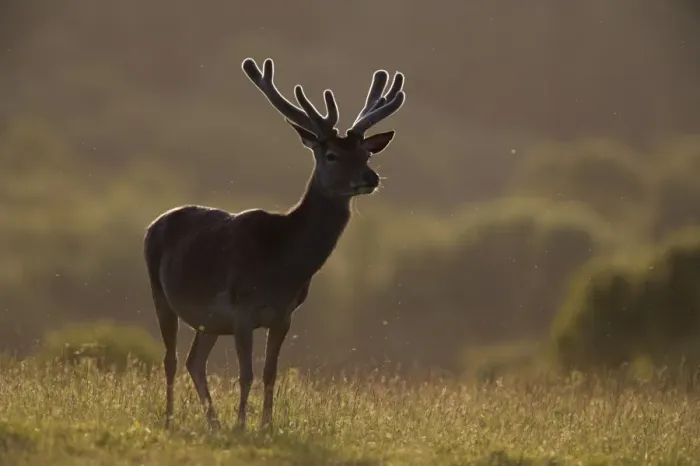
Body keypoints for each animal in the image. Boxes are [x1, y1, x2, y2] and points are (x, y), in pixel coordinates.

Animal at [143, 57, 406, 430]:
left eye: (365, 154)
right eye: (330, 155)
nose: (370, 178)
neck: (283, 265)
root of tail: (154, 224)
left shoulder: (285, 315)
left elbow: (270, 373)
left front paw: (266, 426)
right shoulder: (242, 309)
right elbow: (246, 374)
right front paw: (242, 425)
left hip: (208, 320)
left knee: (195, 361)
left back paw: (213, 423)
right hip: (160, 293)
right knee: (171, 359)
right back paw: (170, 419)